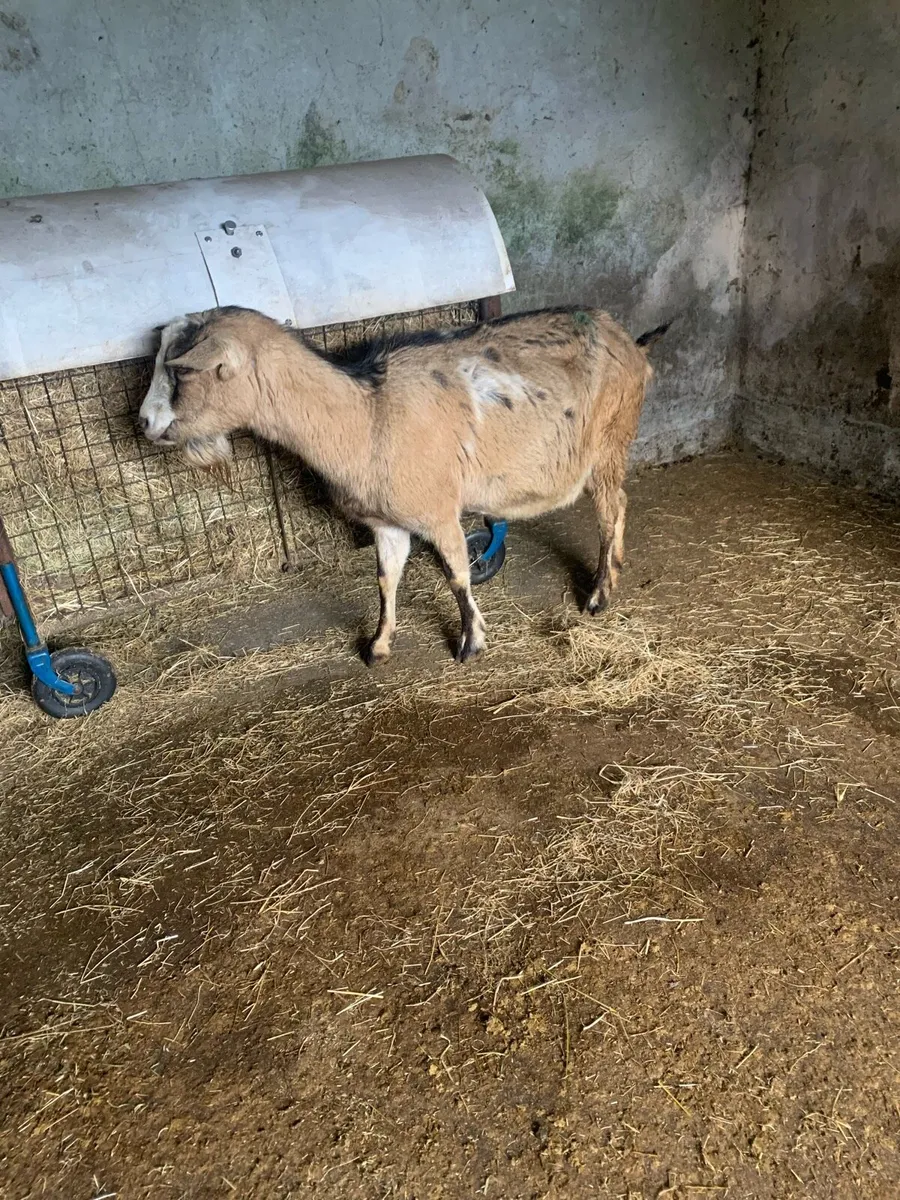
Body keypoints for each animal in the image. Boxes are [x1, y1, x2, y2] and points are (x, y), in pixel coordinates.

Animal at [139, 305, 669, 664]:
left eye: (181, 370)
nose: (143, 422)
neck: (366, 415)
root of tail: (632, 342)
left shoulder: (439, 509)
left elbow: (456, 575)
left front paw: (471, 643)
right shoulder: (386, 522)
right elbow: (385, 579)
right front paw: (378, 645)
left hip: (610, 440)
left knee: (612, 509)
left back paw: (599, 594)